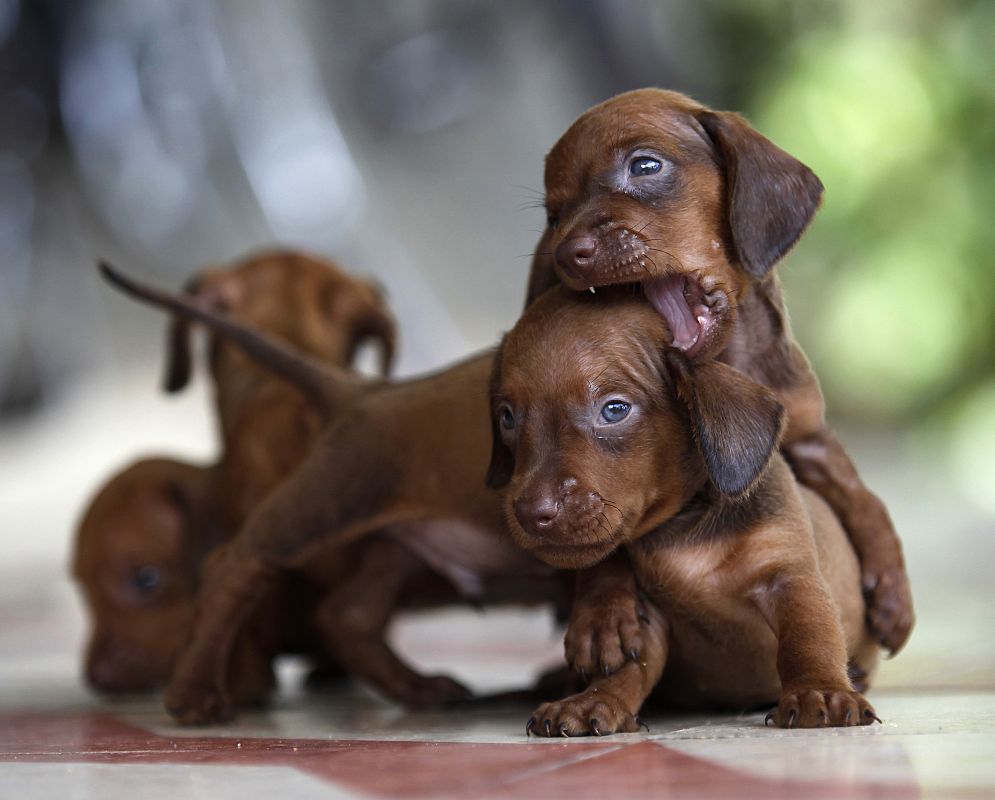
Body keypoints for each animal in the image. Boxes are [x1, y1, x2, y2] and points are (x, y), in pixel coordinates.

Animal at [101, 262, 572, 724]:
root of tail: (363, 392)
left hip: (395, 550)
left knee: (347, 616)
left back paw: (418, 688)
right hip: (322, 506)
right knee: (231, 569)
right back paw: (194, 692)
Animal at [488, 286, 880, 732]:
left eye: (614, 409)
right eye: (507, 417)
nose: (531, 512)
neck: (684, 527)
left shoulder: (788, 577)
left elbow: (808, 637)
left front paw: (820, 690)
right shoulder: (648, 616)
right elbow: (630, 667)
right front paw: (594, 701)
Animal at [524, 87, 916, 656]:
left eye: (645, 165)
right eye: (554, 214)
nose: (567, 254)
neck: (730, 359)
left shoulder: (807, 434)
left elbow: (865, 497)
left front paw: (892, 587)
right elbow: (606, 538)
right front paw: (601, 613)